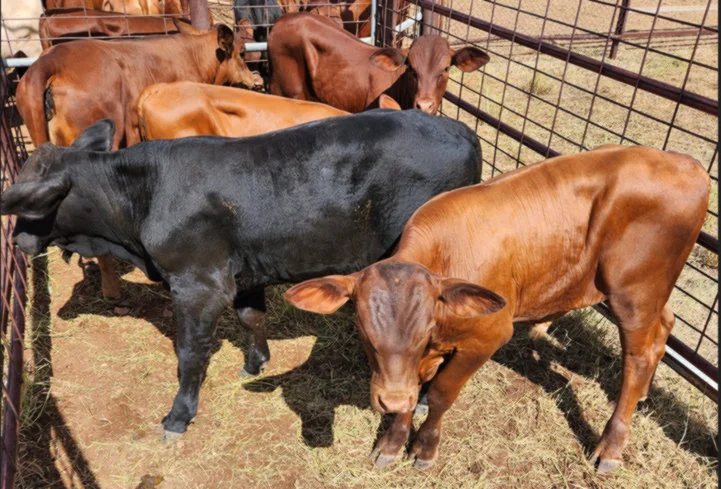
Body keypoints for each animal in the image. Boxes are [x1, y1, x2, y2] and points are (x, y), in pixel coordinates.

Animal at [1, 110, 482, 439]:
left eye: (36, 204)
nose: (17, 242)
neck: (141, 196)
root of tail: (458, 129)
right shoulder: (244, 273)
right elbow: (251, 317)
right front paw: (256, 363)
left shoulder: (198, 284)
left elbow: (190, 352)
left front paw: (178, 415)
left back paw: (422, 401)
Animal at [284, 145, 710, 473]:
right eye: (364, 333)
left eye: (423, 332)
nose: (389, 400)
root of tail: (683, 161)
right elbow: (415, 385)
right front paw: (392, 441)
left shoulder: (488, 337)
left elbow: (442, 393)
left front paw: (425, 448)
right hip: (654, 292)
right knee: (664, 328)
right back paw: (642, 394)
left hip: (633, 292)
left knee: (639, 354)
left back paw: (610, 446)